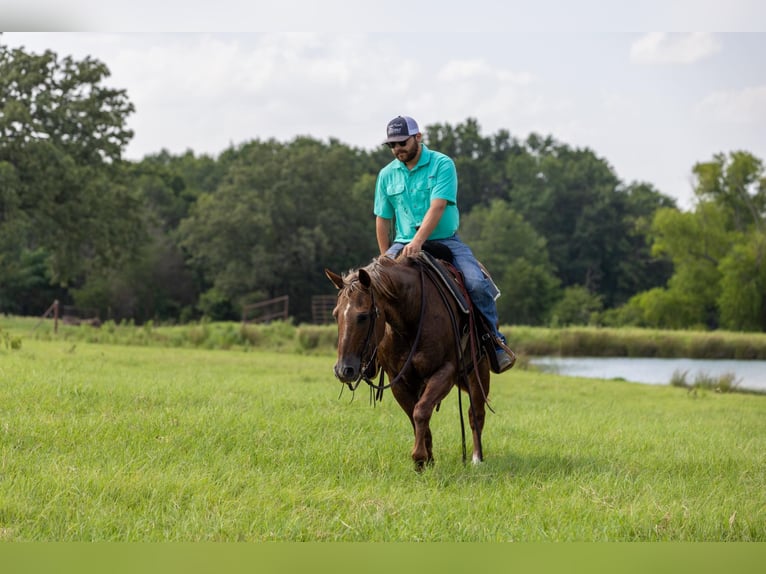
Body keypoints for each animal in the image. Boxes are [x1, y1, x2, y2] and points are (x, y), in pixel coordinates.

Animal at [325, 253, 492, 470]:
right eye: (336, 314)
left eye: (363, 316)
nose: (343, 370)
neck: (411, 317)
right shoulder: (398, 379)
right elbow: (414, 413)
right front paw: (428, 459)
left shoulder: (445, 372)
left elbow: (421, 411)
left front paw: (419, 457)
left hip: (479, 371)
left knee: (476, 413)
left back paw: (477, 458)